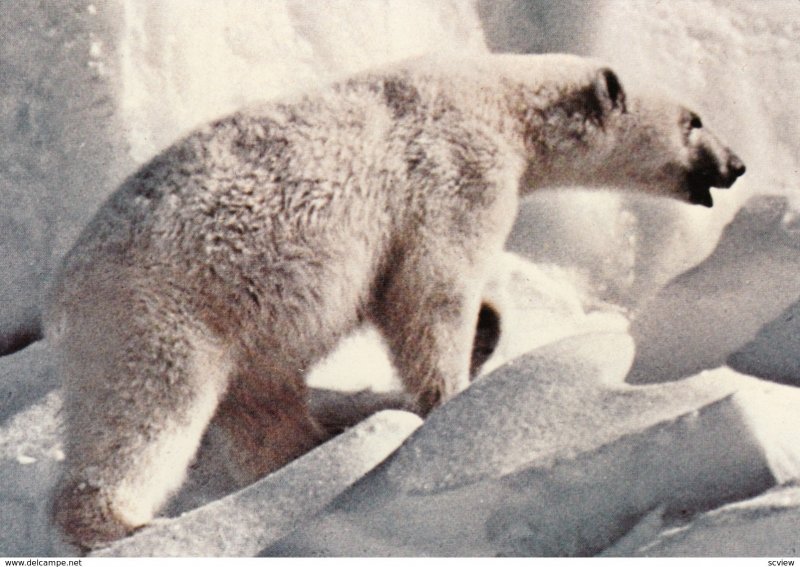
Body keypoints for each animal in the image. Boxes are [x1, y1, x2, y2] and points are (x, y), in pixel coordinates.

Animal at [48, 54, 744, 552]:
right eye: (694, 120)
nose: (736, 165)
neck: (499, 101)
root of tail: (62, 295)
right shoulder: (456, 172)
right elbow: (429, 288)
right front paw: (450, 397)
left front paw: (490, 328)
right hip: (162, 309)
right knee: (147, 411)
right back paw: (123, 522)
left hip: (235, 322)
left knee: (259, 399)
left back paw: (315, 445)